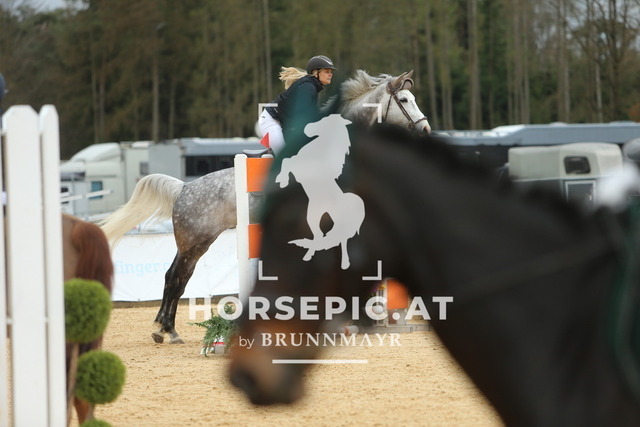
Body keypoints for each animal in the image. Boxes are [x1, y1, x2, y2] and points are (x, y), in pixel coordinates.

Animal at [99, 70, 430, 344]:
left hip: (197, 241)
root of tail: (184, 188)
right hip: (195, 241)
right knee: (176, 278)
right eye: (404, 100)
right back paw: (168, 329)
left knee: (175, 277)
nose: (426, 131)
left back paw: (165, 328)